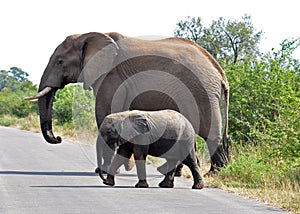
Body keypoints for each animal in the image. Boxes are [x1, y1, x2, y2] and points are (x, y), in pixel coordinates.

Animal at [25, 31, 231, 173]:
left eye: (60, 61)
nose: (58, 138)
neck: (91, 35)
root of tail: (220, 72)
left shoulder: (112, 76)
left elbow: (105, 113)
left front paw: (106, 170)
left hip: (201, 91)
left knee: (210, 133)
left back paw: (214, 174)